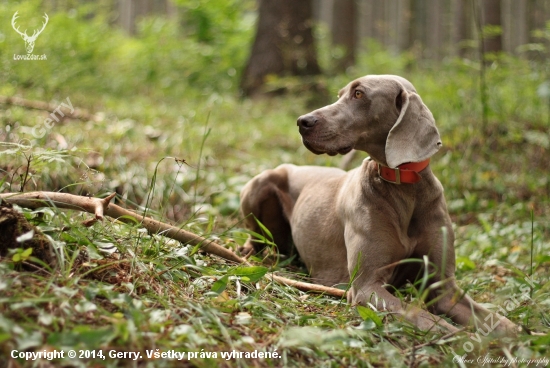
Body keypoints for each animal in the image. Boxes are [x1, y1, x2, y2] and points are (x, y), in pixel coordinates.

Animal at [239, 74, 520, 334]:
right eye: (341, 94)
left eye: (359, 94)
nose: (302, 122)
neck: (404, 188)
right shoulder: (366, 286)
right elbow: (434, 323)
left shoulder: (444, 287)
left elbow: (500, 324)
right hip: (260, 183)